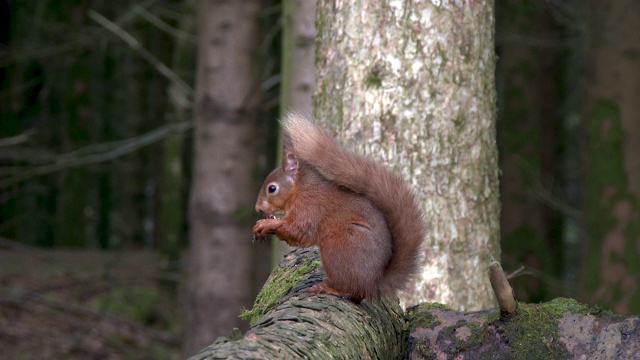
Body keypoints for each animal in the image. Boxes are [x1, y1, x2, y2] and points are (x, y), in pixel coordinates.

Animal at [252, 114, 428, 302]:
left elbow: (298, 231)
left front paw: (266, 224)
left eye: (272, 188)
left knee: (354, 292)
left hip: (338, 248)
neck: (301, 188)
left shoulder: (310, 207)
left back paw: (329, 289)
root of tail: (374, 284)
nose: (258, 208)